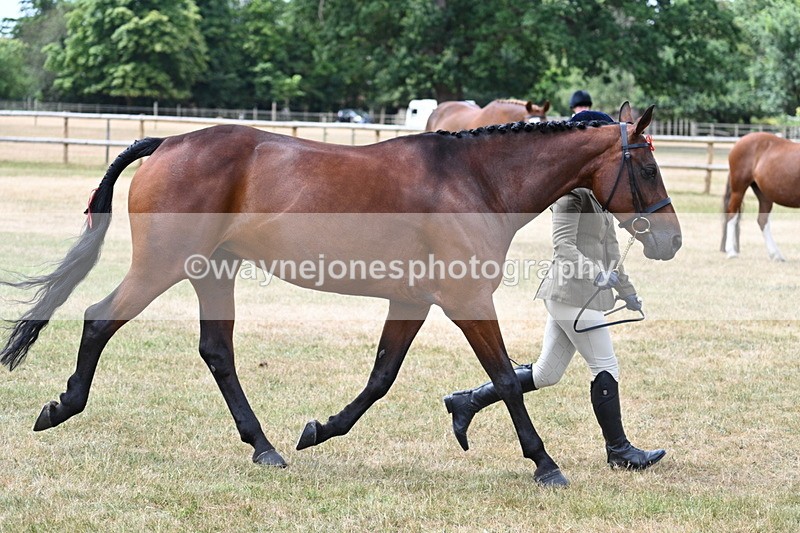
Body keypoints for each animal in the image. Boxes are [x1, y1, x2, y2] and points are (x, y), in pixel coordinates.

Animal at [0, 102, 680, 488]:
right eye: (648, 168)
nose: (671, 240)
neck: (476, 180)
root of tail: (168, 142)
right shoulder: (466, 300)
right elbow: (507, 380)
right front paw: (545, 465)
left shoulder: (413, 302)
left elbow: (380, 377)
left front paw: (319, 430)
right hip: (162, 266)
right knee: (98, 320)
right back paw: (60, 407)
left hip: (211, 272)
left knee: (217, 352)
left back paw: (267, 448)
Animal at [722, 132, 800, 261]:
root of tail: (740, 141)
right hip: (738, 190)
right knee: (732, 215)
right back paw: (731, 252)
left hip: (764, 196)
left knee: (762, 220)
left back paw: (775, 255)